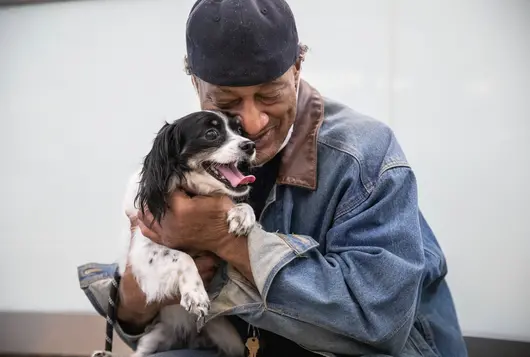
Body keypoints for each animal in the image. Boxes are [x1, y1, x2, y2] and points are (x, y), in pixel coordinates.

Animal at [93, 110, 258, 356]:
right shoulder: (143, 252)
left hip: (231, 340)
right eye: (211, 133)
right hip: (154, 339)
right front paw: (196, 294)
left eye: (239, 130)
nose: (250, 145)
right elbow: (182, 257)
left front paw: (243, 215)